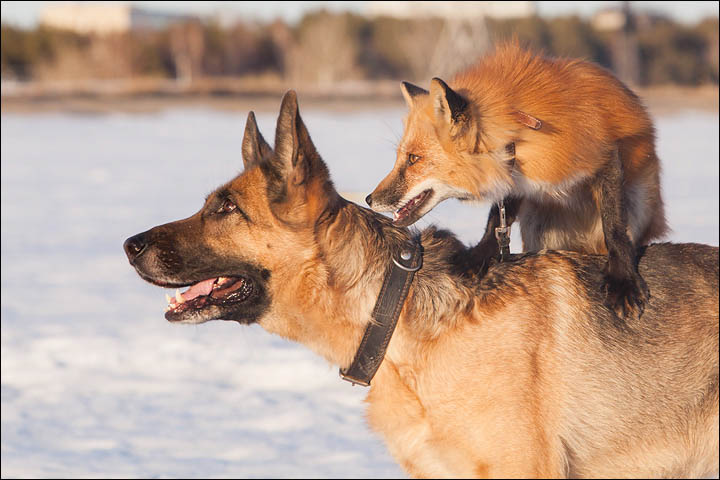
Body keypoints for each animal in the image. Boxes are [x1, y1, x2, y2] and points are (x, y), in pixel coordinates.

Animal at [368, 42, 668, 318]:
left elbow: (614, 227)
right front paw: (479, 257)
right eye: (402, 156)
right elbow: (495, 220)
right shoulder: (514, 177)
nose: (370, 199)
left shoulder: (605, 156)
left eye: (413, 159)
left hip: (639, 203)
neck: (519, 134)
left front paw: (623, 281)